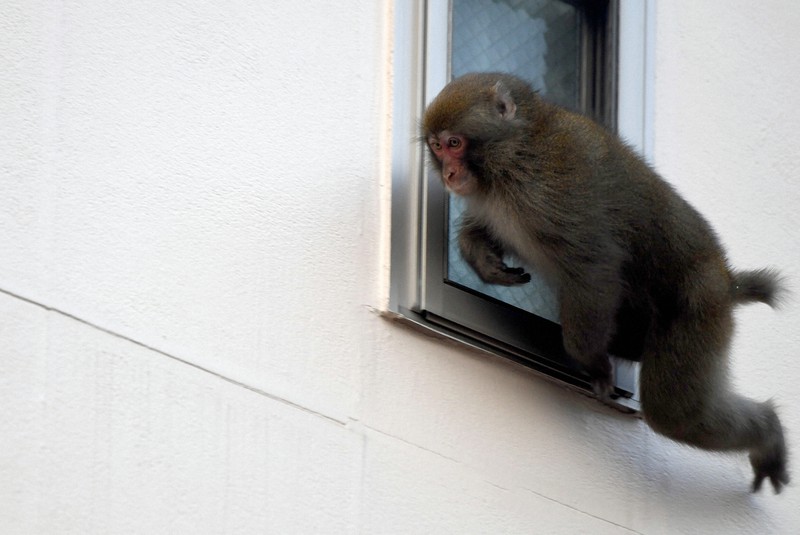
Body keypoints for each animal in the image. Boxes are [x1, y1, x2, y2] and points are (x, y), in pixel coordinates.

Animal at [424, 71, 788, 494]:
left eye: (455, 143)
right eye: (437, 147)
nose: (448, 174)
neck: (514, 154)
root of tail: (728, 282)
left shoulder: (553, 186)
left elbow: (593, 266)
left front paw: (591, 362)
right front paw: (482, 259)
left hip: (700, 307)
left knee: (674, 411)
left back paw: (768, 431)